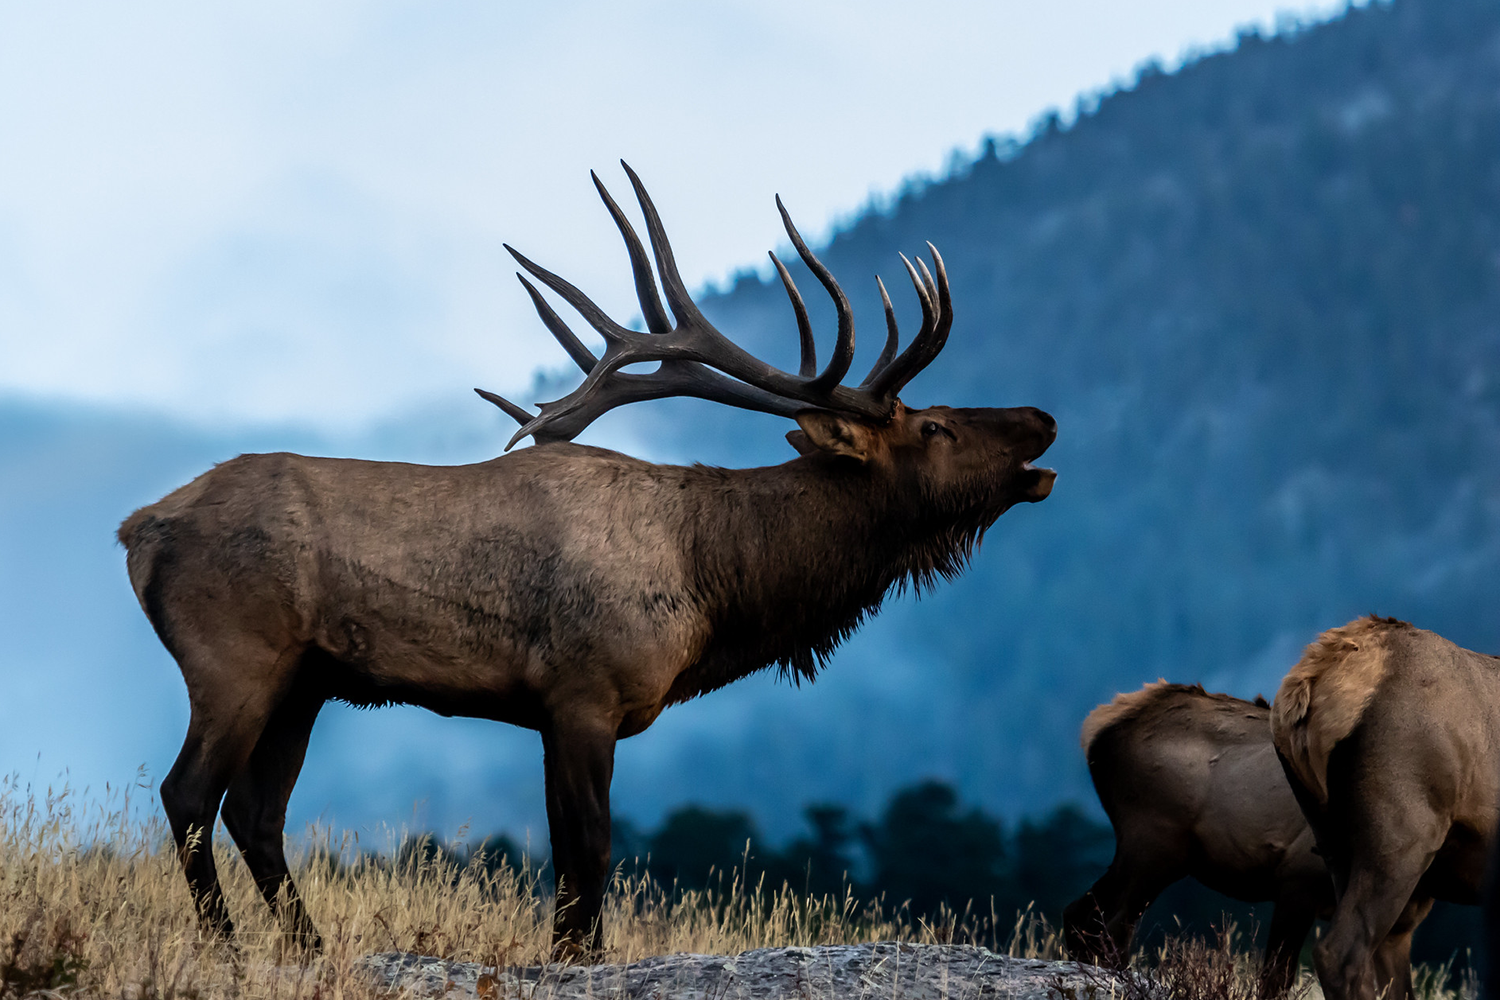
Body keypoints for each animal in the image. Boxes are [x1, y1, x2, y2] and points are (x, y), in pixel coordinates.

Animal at [117, 163, 1058, 957]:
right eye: (934, 426)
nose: (1043, 419)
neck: (715, 584)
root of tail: (137, 528)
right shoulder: (585, 692)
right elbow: (591, 854)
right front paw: (577, 957)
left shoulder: (550, 709)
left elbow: (570, 860)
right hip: (234, 656)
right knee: (189, 796)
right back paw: (226, 945)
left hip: (306, 681)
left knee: (257, 812)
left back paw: (307, 949)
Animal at [1063, 682, 1332, 996]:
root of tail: (1099, 727)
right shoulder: (1298, 876)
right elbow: (1277, 976)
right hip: (1154, 843)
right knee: (1112, 922)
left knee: (1084, 912)